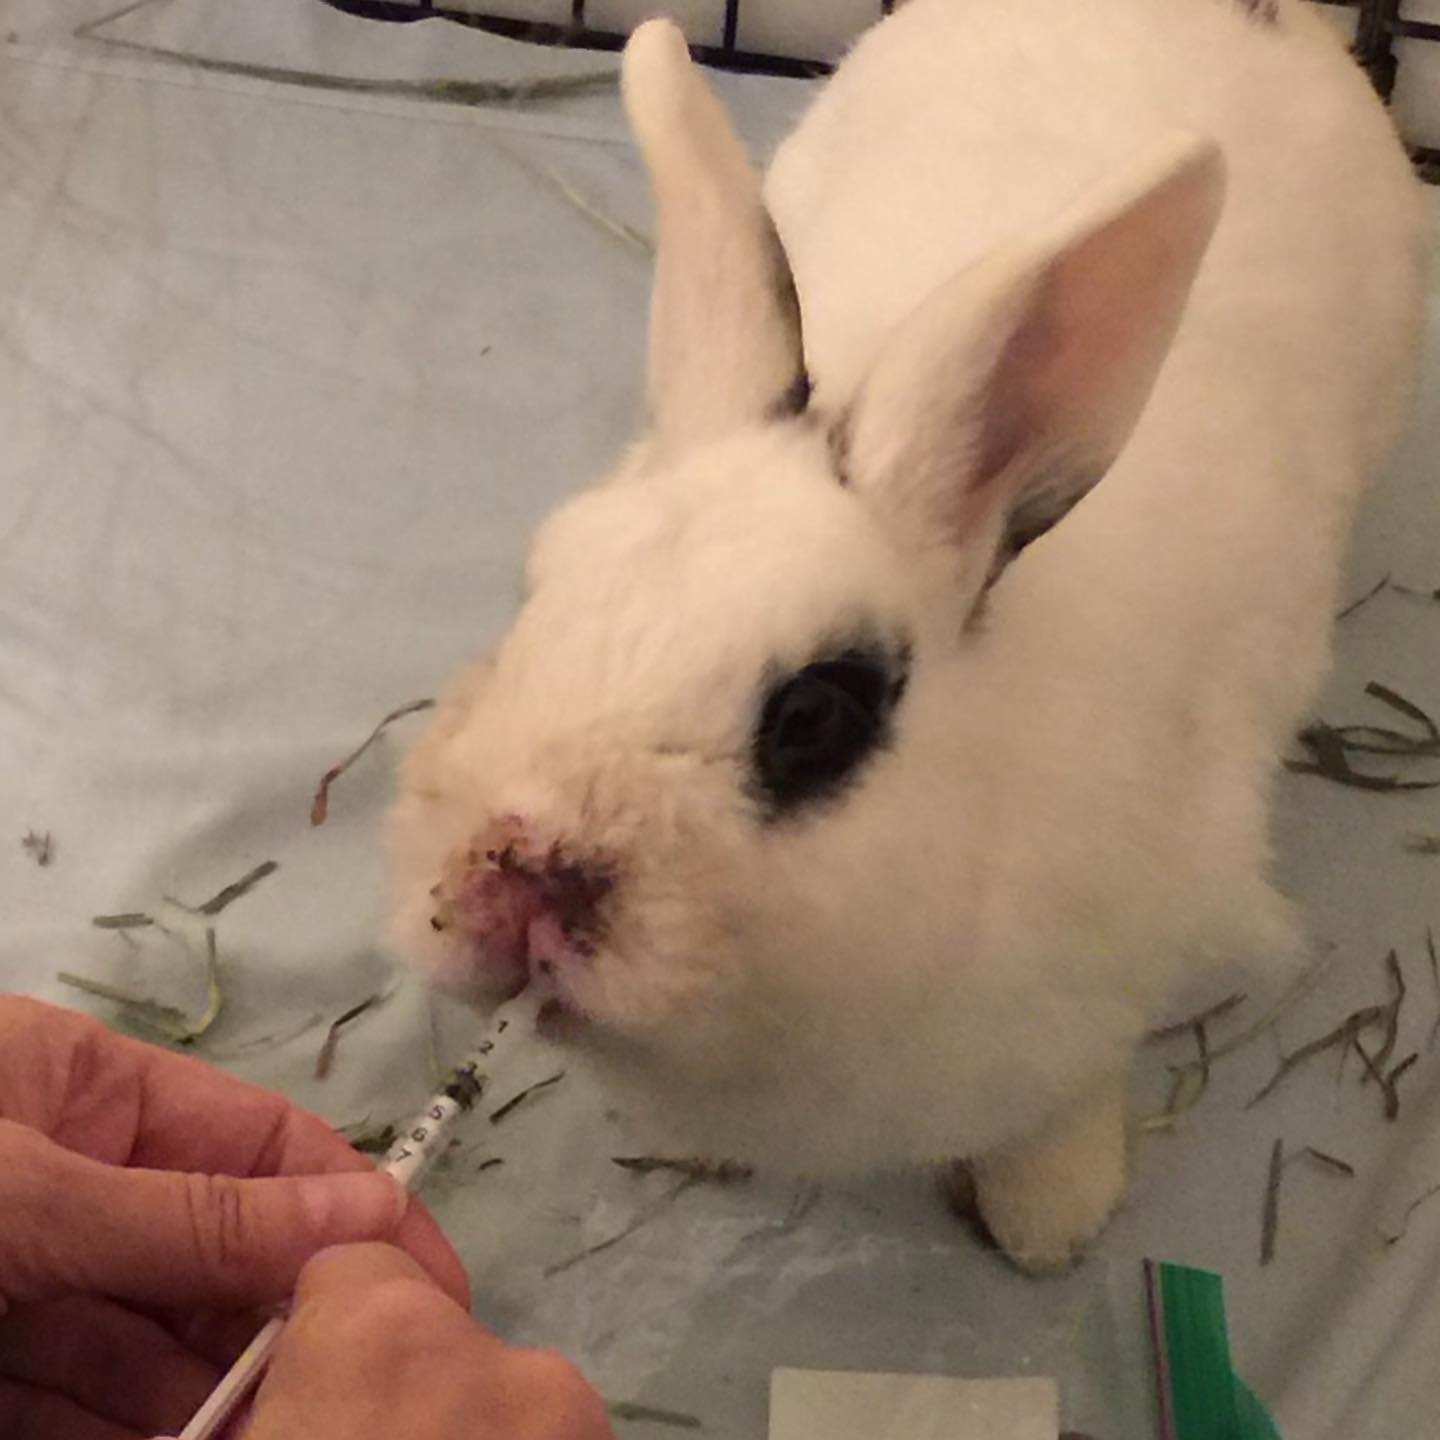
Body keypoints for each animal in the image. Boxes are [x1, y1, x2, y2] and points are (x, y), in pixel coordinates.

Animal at [386, 0, 1429, 1270]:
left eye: (814, 716)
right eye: (535, 594)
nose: (521, 872)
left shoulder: (1098, 1003)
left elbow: (1060, 1113)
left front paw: (1050, 1220)